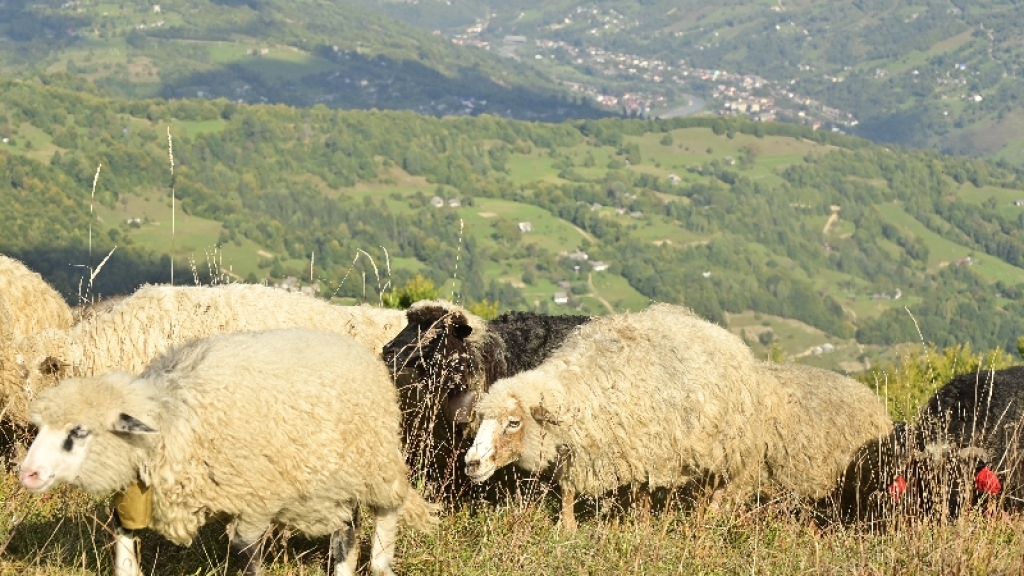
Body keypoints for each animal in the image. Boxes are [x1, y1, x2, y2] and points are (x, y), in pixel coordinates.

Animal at [18, 327, 436, 573]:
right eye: (38, 429)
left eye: (78, 432)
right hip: (334, 477)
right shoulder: (135, 493)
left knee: (386, 510)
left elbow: (246, 550)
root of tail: (354, 347)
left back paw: (380, 562)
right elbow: (123, 544)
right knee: (345, 530)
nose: (28, 474)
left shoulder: (257, 495)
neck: (174, 415)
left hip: (374, 459)